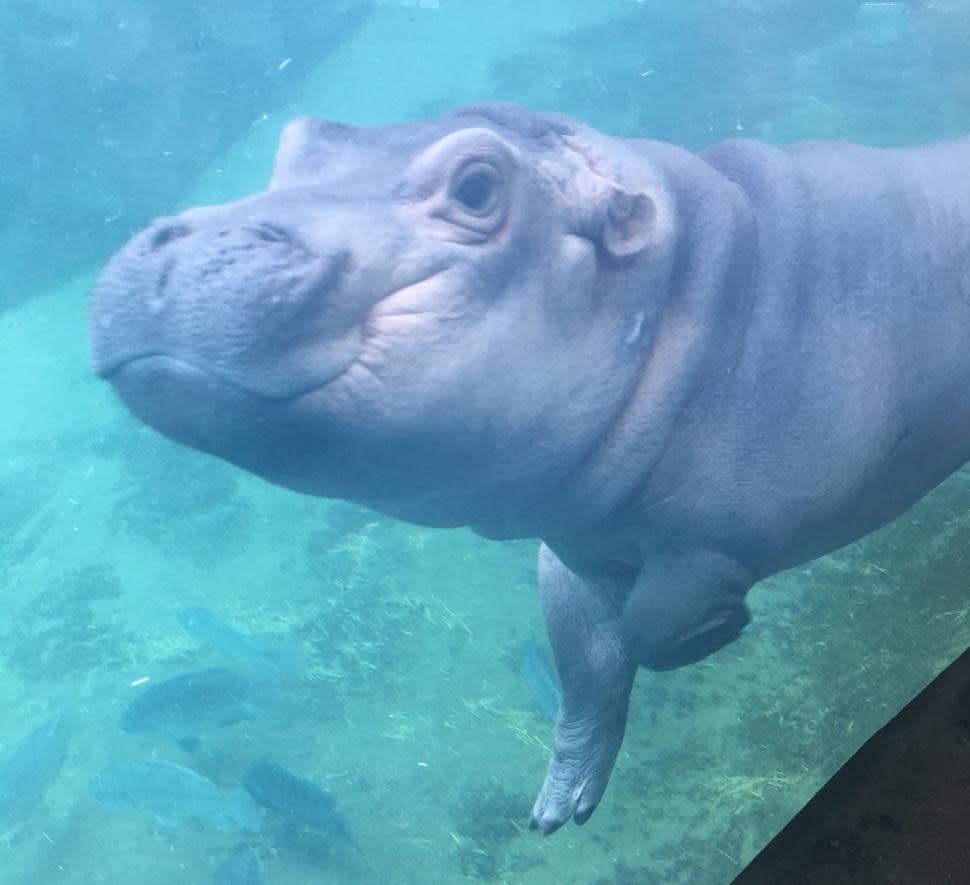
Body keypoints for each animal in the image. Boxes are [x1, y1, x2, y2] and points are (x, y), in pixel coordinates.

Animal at [89, 105, 968, 836]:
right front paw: (557, 807)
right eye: (299, 138)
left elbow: (650, 623)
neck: (703, 281)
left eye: (478, 184)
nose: (170, 245)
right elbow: (582, 658)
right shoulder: (569, 543)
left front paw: (715, 631)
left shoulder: (711, 540)